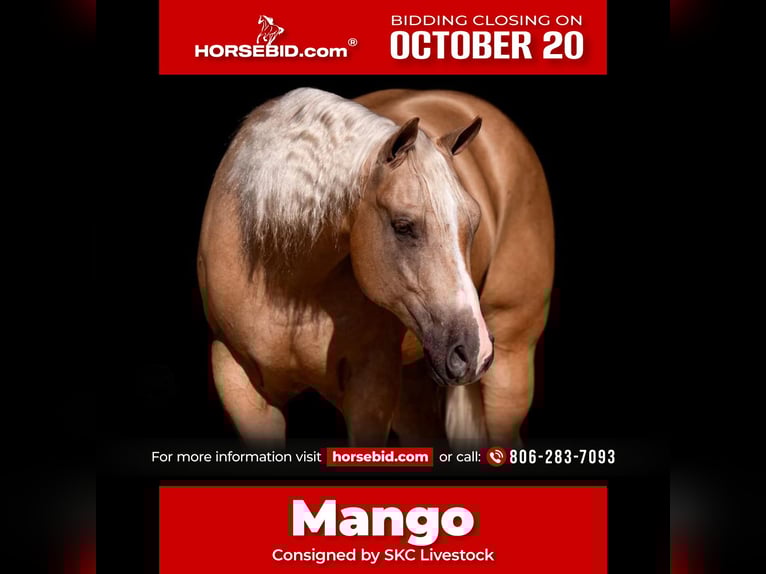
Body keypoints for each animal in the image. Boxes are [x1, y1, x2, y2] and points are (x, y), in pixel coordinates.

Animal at [197, 88, 554, 448]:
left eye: (475, 222)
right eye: (403, 226)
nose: (474, 350)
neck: (286, 284)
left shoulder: (371, 388)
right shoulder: (239, 383)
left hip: (509, 363)